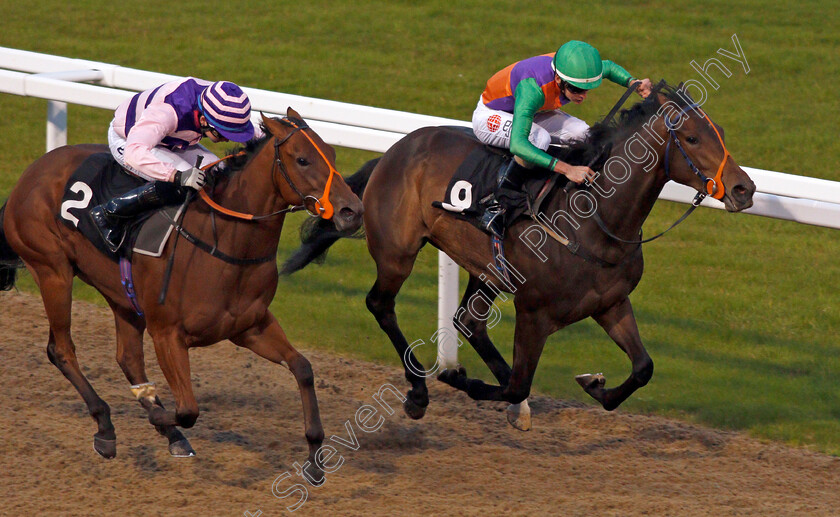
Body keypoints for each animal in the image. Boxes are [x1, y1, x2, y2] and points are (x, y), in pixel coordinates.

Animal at [0, 110, 360, 480]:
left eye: (332, 154)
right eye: (302, 160)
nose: (352, 211)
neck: (224, 243)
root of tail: (32, 171)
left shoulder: (251, 326)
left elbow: (303, 368)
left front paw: (315, 457)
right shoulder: (167, 334)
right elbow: (188, 408)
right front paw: (158, 417)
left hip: (122, 294)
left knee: (128, 358)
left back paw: (167, 433)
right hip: (52, 270)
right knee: (61, 349)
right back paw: (106, 427)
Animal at [282, 84, 756, 430]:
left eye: (721, 133)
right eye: (692, 138)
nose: (744, 188)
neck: (594, 219)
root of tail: (395, 151)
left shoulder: (611, 303)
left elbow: (643, 368)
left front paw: (594, 384)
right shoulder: (534, 313)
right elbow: (516, 383)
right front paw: (457, 377)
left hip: (487, 267)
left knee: (467, 322)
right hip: (398, 252)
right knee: (381, 305)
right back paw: (418, 393)